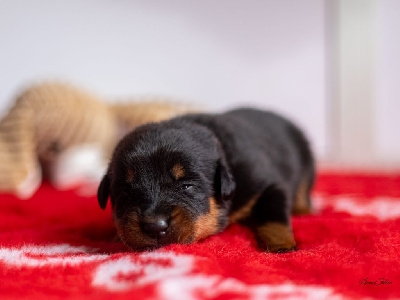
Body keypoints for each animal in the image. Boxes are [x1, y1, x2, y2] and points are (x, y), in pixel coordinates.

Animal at [97, 108, 316, 253]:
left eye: (187, 186)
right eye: (126, 191)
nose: (155, 226)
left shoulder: (268, 184)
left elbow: (273, 216)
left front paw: (282, 245)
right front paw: (117, 236)